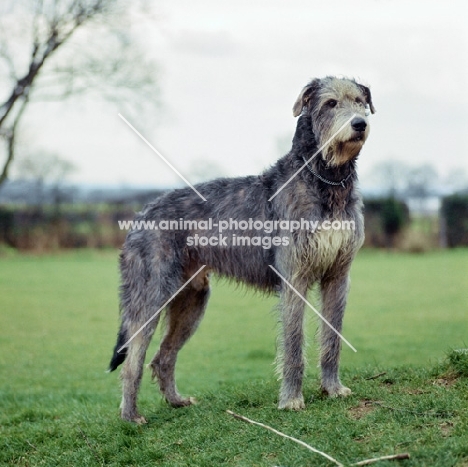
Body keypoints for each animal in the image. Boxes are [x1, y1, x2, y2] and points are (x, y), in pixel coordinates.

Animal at [109, 77, 372, 424]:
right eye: (330, 103)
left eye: (359, 101)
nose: (359, 124)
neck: (326, 180)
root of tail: (139, 217)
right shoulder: (294, 278)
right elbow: (293, 344)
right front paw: (291, 399)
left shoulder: (338, 277)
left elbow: (333, 338)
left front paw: (332, 388)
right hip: (151, 295)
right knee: (132, 360)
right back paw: (130, 416)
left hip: (192, 301)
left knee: (163, 356)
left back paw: (176, 400)